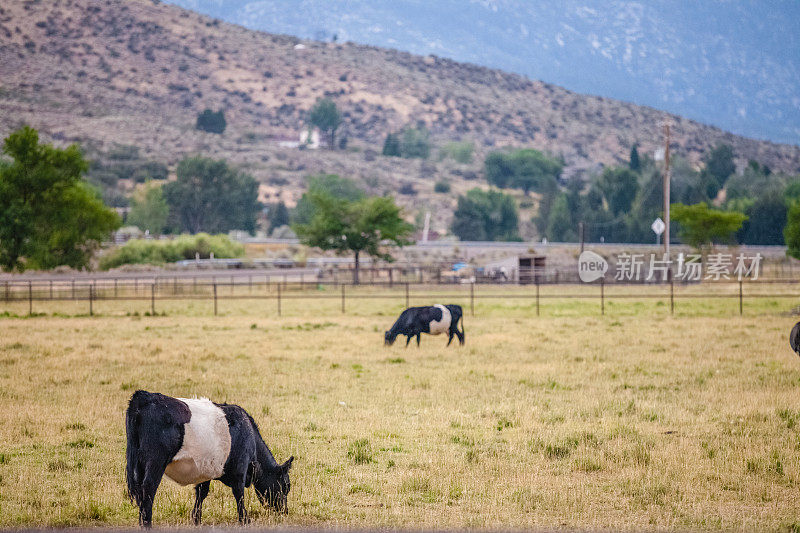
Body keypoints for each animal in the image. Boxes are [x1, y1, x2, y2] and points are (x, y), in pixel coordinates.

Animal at [127, 388, 294, 524]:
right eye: (286, 485)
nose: (284, 511)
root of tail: (144, 396)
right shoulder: (240, 469)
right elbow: (239, 494)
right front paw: (244, 519)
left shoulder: (205, 470)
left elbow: (201, 493)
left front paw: (196, 519)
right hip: (155, 462)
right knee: (148, 490)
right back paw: (147, 523)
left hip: (138, 465)